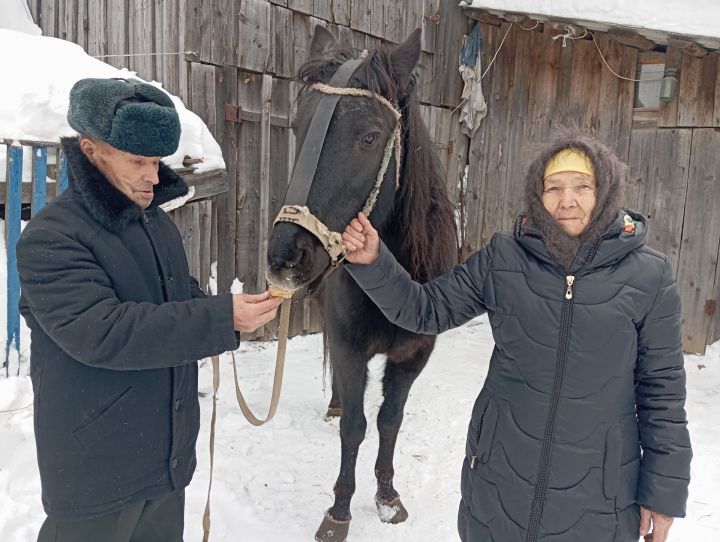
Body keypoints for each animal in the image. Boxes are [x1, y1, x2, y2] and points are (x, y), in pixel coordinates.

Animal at [264, 26, 456, 542]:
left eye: (369, 137)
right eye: (299, 127)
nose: (285, 256)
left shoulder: (414, 356)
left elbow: (390, 421)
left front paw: (387, 497)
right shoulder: (351, 349)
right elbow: (355, 426)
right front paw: (340, 510)